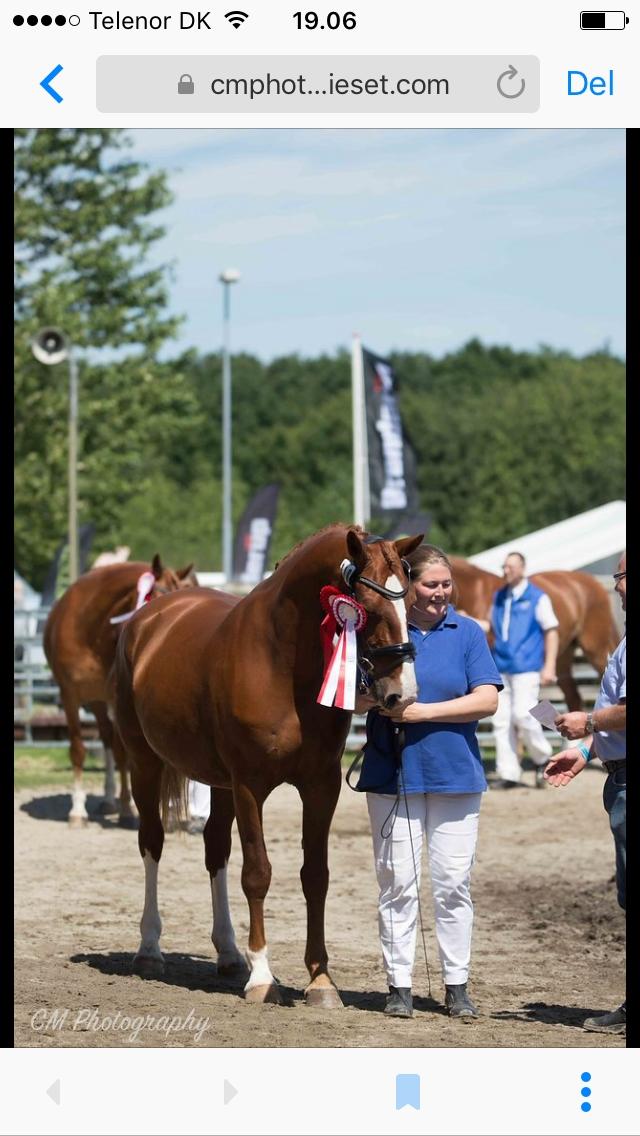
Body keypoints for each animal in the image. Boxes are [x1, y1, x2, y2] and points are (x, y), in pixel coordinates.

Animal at [43, 556, 195, 827]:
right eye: (162, 599)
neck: (89, 630)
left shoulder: (117, 697)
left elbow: (123, 753)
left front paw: (126, 808)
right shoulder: (69, 695)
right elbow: (78, 750)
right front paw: (77, 810)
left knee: (115, 744)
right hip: (96, 701)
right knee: (105, 738)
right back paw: (107, 799)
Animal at [113, 522, 425, 1004]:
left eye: (408, 604)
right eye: (368, 609)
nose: (402, 694)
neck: (281, 661)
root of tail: (147, 620)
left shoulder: (320, 785)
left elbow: (315, 875)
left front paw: (320, 980)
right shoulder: (249, 785)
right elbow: (257, 873)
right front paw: (262, 977)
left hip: (217, 781)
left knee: (215, 850)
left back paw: (228, 954)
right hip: (145, 762)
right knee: (152, 843)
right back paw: (150, 950)